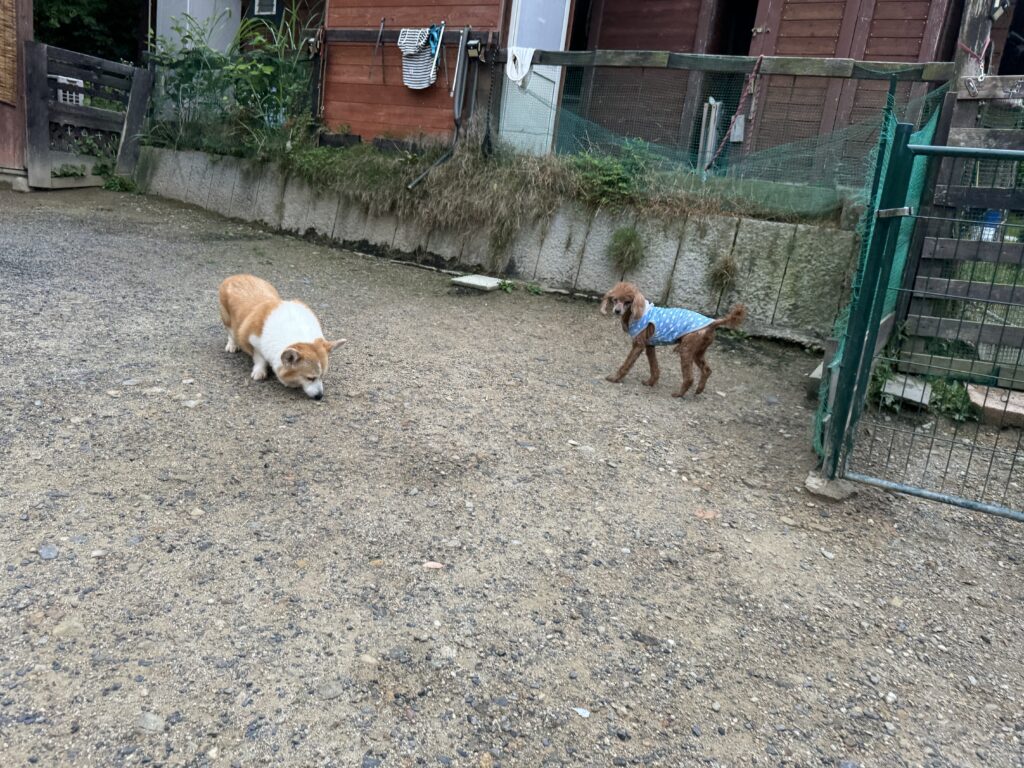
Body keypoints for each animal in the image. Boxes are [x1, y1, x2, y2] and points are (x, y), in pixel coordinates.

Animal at [600, 282, 745, 398]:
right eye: (615, 299)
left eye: (627, 302)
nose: (617, 311)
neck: (637, 312)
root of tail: (712, 323)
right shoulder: (650, 346)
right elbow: (654, 367)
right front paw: (650, 382)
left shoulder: (639, 345)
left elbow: (626, 364)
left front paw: (615, 378)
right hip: (698, 352)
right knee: (707, 370)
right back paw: (699, 390)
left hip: (686, 350)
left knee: (689, 378)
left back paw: (679, 394)